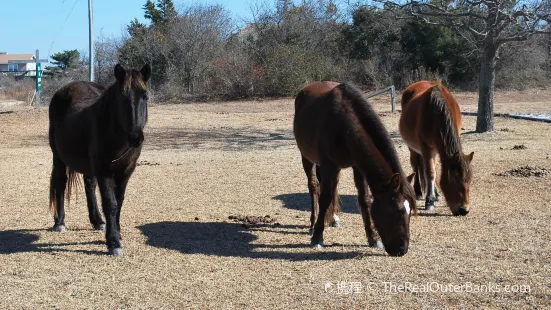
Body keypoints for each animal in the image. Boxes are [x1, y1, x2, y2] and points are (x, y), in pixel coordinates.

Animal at [47, 61, 150, 256]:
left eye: (145, 97)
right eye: (122, 97)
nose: (136, 137)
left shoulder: (126, 171)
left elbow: (119, 201)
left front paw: (116, 233)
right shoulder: (104, 171)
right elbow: (110, 203)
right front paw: (114, 242)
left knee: (89, 185)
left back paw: (98, 221)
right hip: (58, 156)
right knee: (60, 182)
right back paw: (60, 223)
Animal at [296, 81, 416, 256]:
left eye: (410, 211)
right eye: (398, 211)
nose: (402, 249)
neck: (345, 125)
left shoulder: (358, 166)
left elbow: (364, 199)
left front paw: (372, 239)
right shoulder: (329, 166)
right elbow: (324, 198)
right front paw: (317, 238)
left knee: (334, 187)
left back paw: (333, 218)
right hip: (307, 158)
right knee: (313, 186)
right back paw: (313, 224)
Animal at [402, 80, 474, 216]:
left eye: (469, 179)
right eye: (455, 177)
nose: (464, 210)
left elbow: (433, 172)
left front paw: (434, 196)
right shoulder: (426, 148)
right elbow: (430, 173)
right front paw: (429, 202)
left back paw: (436, 194)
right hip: (413, 148)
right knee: (416, 166)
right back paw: (419, 192)